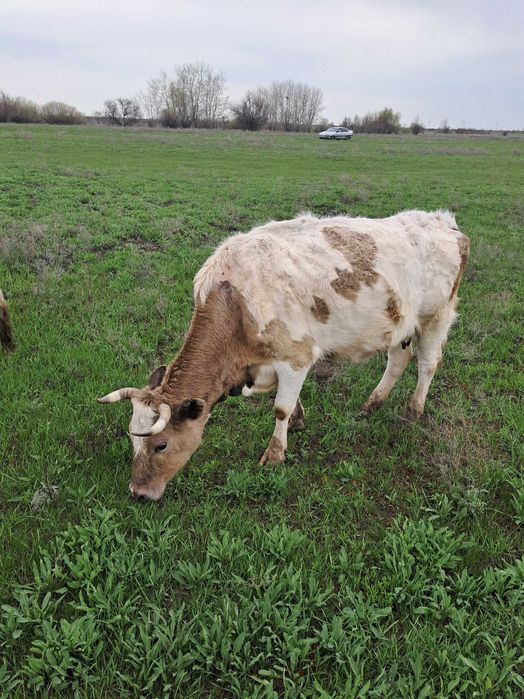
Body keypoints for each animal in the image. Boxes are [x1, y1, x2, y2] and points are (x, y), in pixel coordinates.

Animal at [98, 210, 470, 502]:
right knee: (398, 359)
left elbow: (280, 407)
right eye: (132, 440)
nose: (138, 493)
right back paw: (371, 404)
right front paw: (299, 420)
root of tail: (444, 221)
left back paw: (413, 410)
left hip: (437, 316)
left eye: (161, 445)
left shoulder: (296, 356)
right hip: (399, 325)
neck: (236, 302)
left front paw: (275, 454)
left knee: (427, 364)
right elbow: (287, 400)